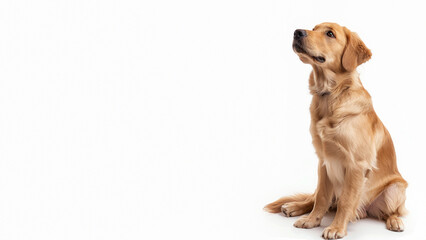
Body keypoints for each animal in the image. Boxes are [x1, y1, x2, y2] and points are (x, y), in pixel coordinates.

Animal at [264, 23, 408, 238]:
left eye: (330, 33)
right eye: (314, 28)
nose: (297, 32)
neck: (331, 95)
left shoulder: (356, 165)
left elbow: (346, 201)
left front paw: (336, 228)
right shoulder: (324, 161)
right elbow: (321, 197)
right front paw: (311, 220)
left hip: (397, 187)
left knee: (391, 211)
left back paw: (395, 221)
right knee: (314, 197)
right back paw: (294, 207)